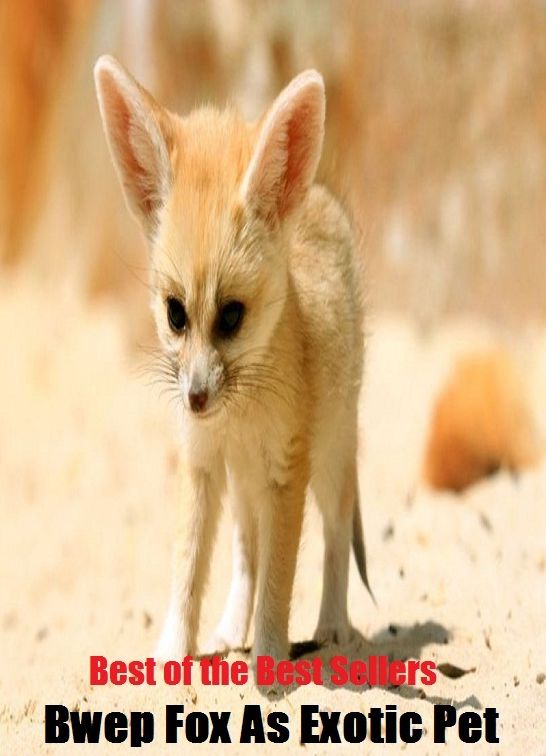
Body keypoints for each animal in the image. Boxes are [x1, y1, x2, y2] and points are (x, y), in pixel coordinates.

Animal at [94, 55, 371, 665]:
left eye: (231, 316)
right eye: (175, 314)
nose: (196, 398)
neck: (236, 420)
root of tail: (318, 197)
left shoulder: (288, 472)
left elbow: (279, 581)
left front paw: (268, 661)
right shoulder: (200, 463)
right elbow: (189, 570)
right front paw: (173, 653)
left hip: (330, 456)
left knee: (337, 531)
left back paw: (333, 624)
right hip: (243, 484)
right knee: (246, 551)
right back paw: (227, 631)